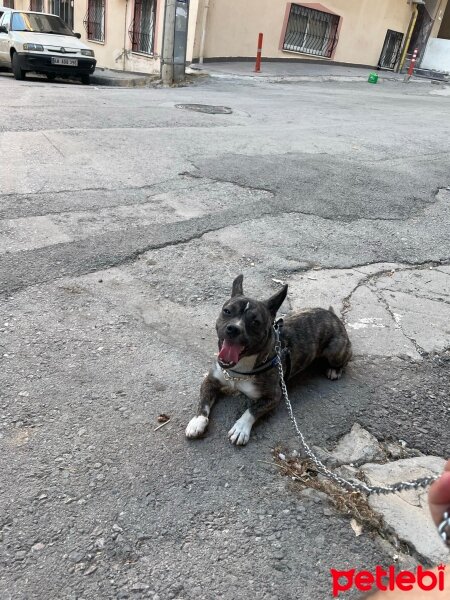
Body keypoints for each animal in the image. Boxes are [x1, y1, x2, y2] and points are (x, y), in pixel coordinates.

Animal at [184, 276, 352, 446]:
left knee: (346, 358)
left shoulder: (273, 396)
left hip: (335, 351)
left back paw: (335, 370)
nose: (233, 328)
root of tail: (333, 316)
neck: (239, 369)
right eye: (227, 311)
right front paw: (197, 421)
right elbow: (204, 401)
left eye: (255, 322)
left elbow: (252, 410)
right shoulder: (210, 381)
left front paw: (241, 428)